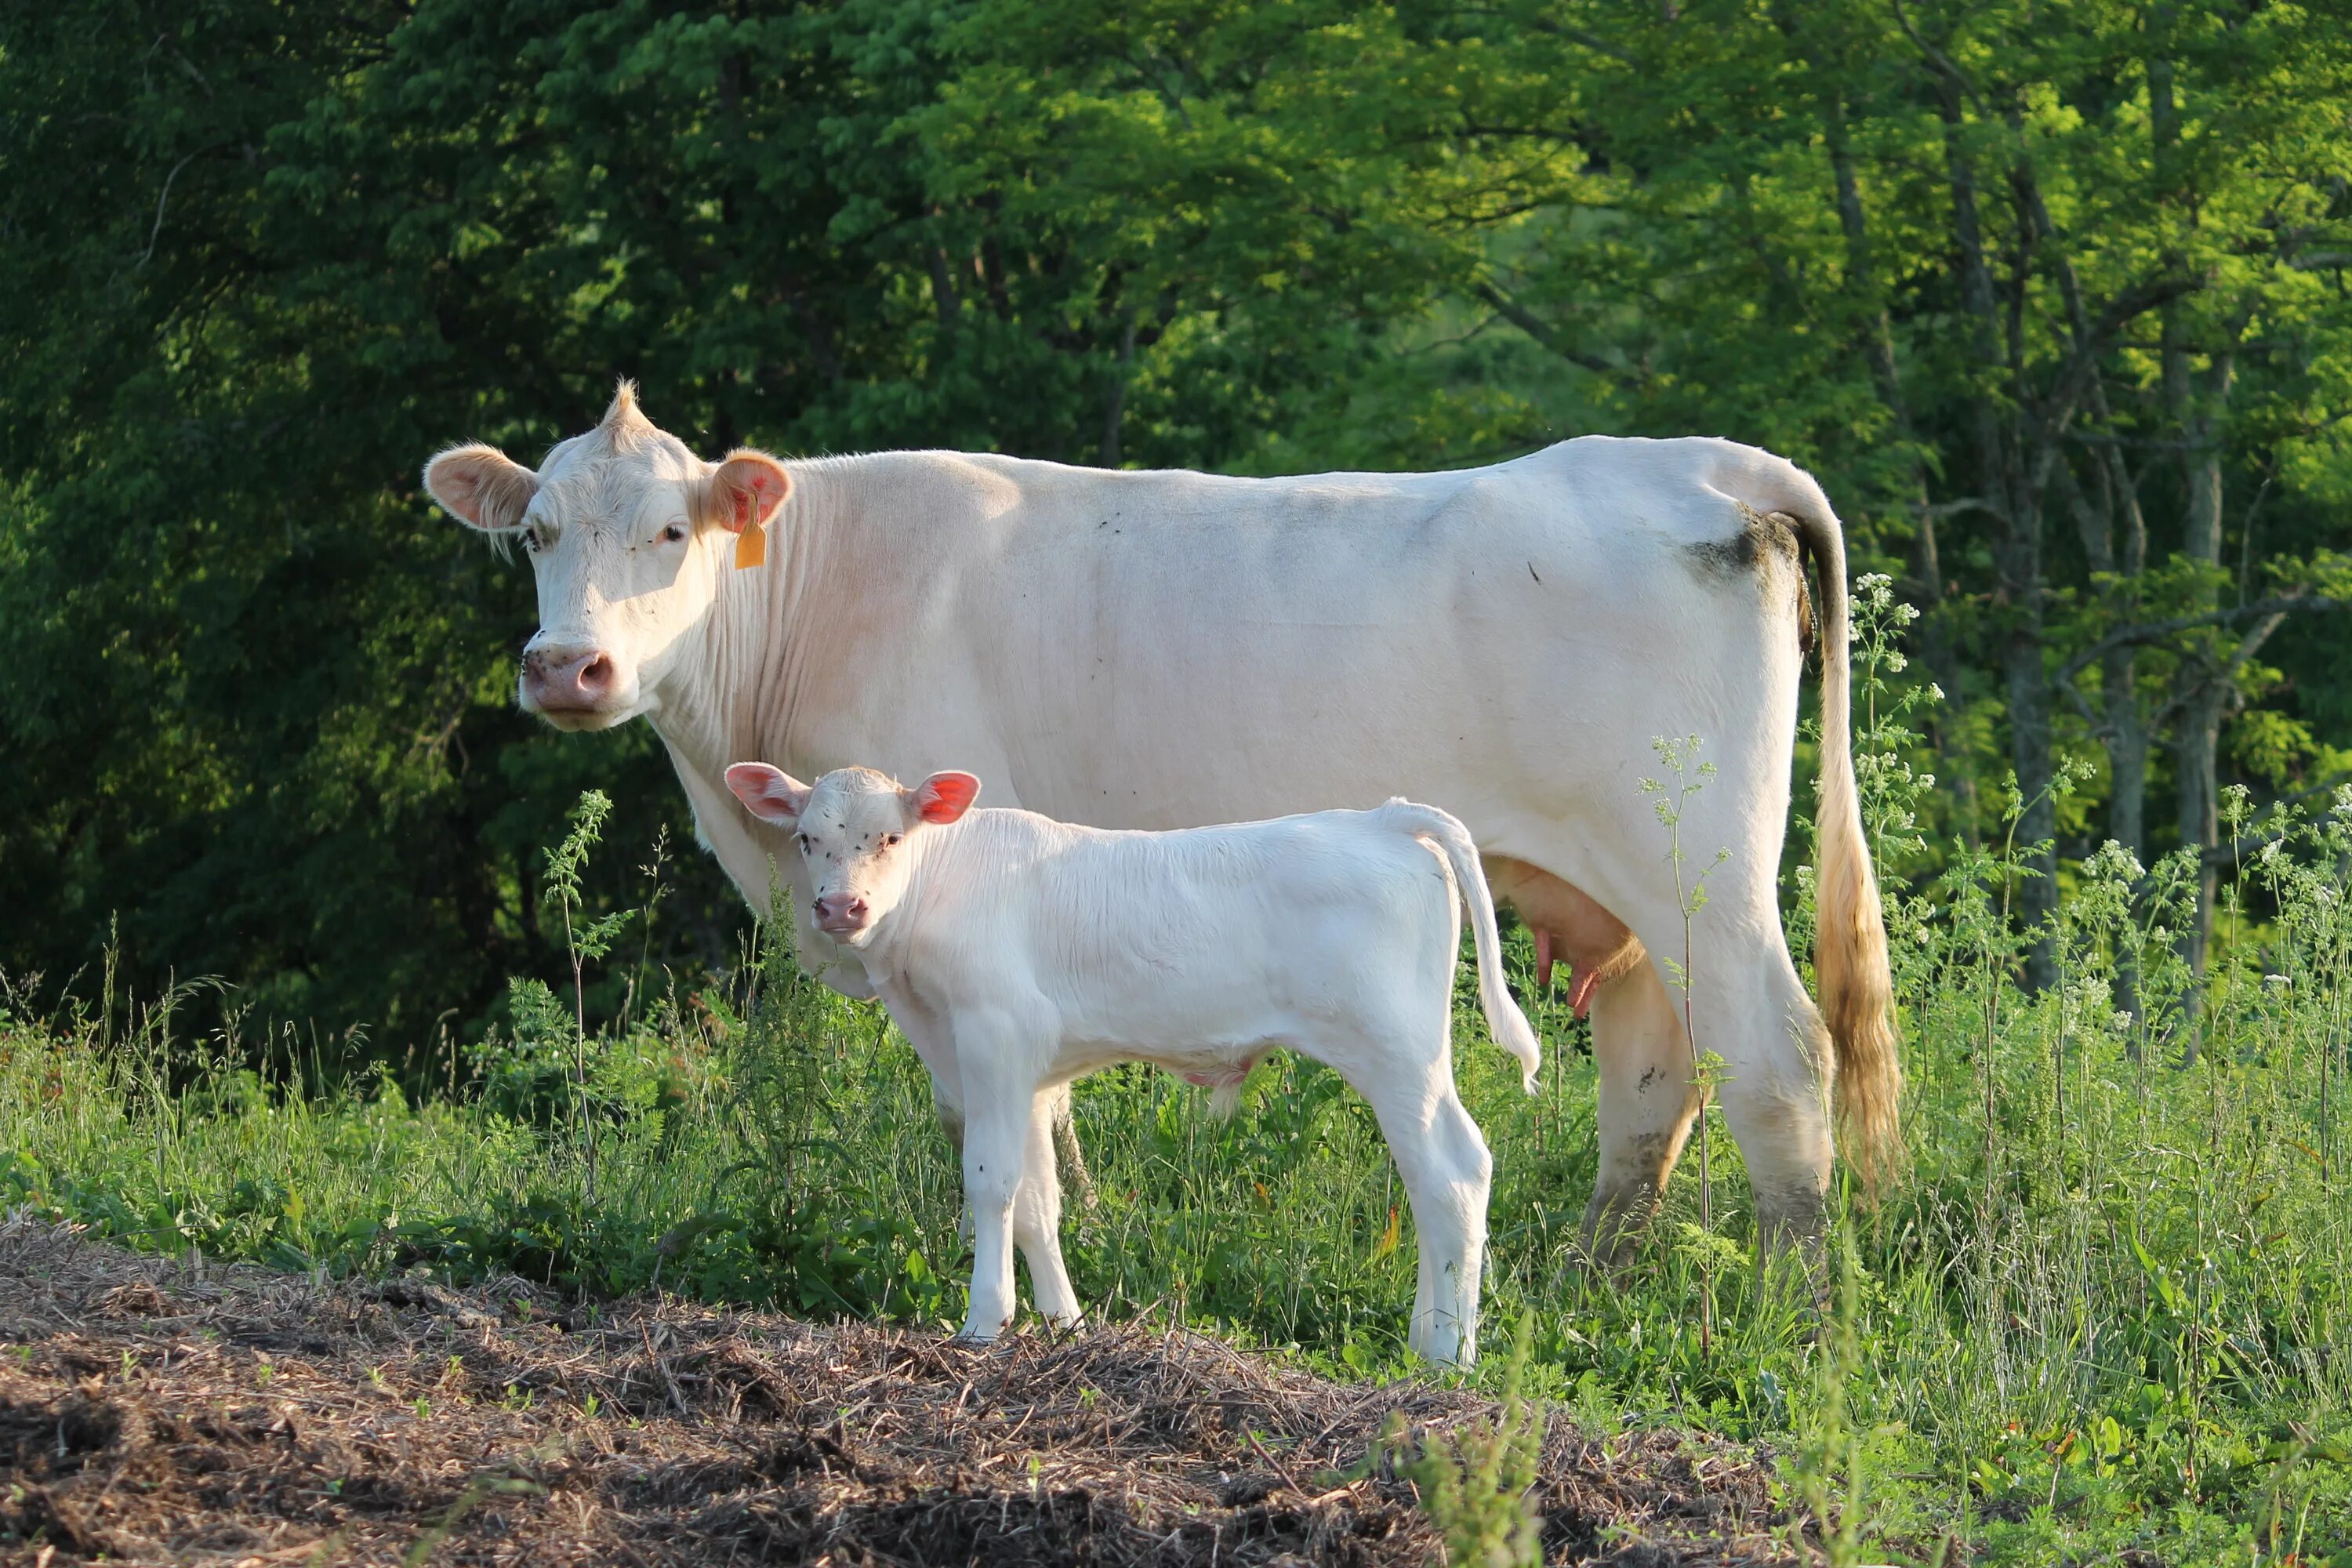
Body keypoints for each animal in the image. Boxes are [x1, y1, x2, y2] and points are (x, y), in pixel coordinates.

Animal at [423, 383, 1891, 1260]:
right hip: (1627, 896)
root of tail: (1695, 461)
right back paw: (1597, 1269)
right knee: (1655, 1077)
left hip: (1701, 866)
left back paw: (1797, 1289)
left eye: (671, 532)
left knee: (1778, 1061)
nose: (568, 668)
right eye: (536, 532)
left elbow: (1005, 1113)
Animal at [724, 761, 1552, 1363]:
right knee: (1445, 1176)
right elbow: (1038, 1197)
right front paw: (1065, 1323)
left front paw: (986, 1322)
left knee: (1449, 1175)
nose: (841, 908)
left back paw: (1448, 1354)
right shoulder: (1018, 1069)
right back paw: (1430, 1338)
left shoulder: (995, 1037)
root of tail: (1382, 817)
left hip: (1396, 1050)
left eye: (891, 838)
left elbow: (991, 1181)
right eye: (807, 839)